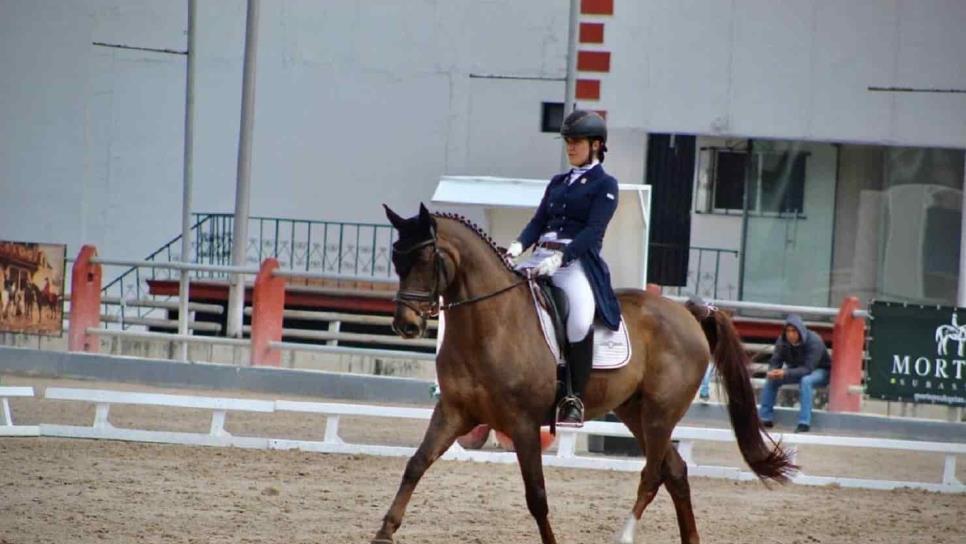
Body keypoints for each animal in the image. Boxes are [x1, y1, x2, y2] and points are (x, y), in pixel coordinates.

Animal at [372, 204, 796, 544]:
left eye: (426, 260)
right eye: (396, 261)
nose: (405, 325)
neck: (489, 324)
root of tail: (689, 312)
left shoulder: (523, 424)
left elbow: (537, 496)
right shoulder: (454, 412)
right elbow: (415, 465)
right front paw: (384, 532)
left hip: (660, 413)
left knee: (652, 474)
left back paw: (624, 536)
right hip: (634, 411)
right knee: (675, 471)